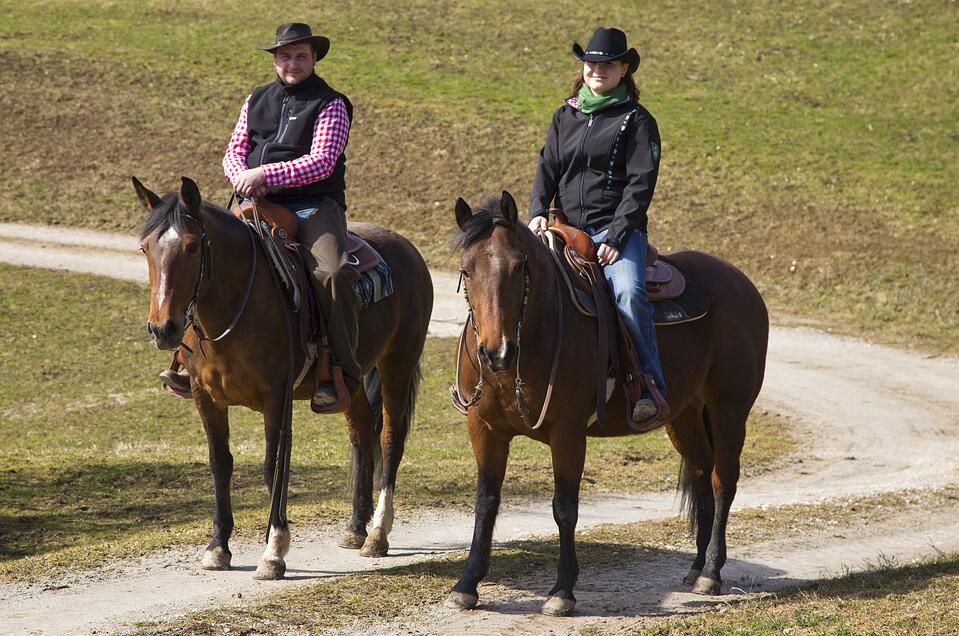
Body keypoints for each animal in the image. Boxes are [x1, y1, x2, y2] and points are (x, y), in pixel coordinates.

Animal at [131, 176, 432, 580]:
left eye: (192, 246)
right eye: (145, 248)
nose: (163, 329)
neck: (235, 305)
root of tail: (407, 249)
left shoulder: (276, 396)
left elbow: (273, 464)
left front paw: (274, 551)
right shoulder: (204, 396)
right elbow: (220, 463)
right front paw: (217, 547)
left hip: (398, 362)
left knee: (389, 439)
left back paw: (377, 534)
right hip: (350, 384)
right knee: (361, 438)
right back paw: (356, 528)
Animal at [446, 191, 768, 612]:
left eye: (519, 266)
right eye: (467, 270)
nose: (496, 351)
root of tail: (742, 284)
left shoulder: (567, 433)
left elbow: (564, 508)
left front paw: (562, 591)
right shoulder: (485, 429)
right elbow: (486, 502)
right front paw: (467, 584)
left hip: (728, 410)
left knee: (721, 481)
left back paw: (711, 572)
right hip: (684, 417)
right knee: (700, 475)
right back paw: (697, 567)